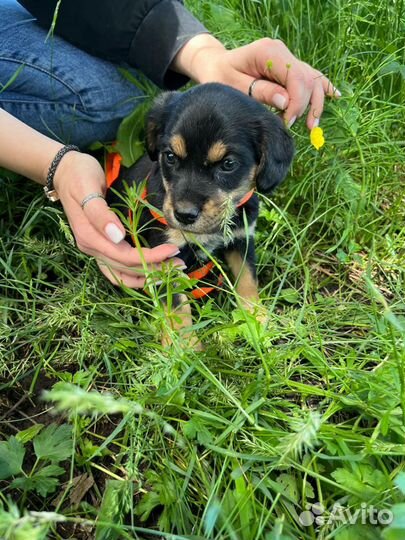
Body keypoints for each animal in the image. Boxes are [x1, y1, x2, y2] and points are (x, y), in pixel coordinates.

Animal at [105, 83, 292, 344]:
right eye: (170, 156)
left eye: (228, 164)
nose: (184, 215)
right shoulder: (167, 258)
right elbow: (177, 306)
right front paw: (184, 346)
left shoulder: (242, 238)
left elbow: (247, 279)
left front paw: (256, 319)